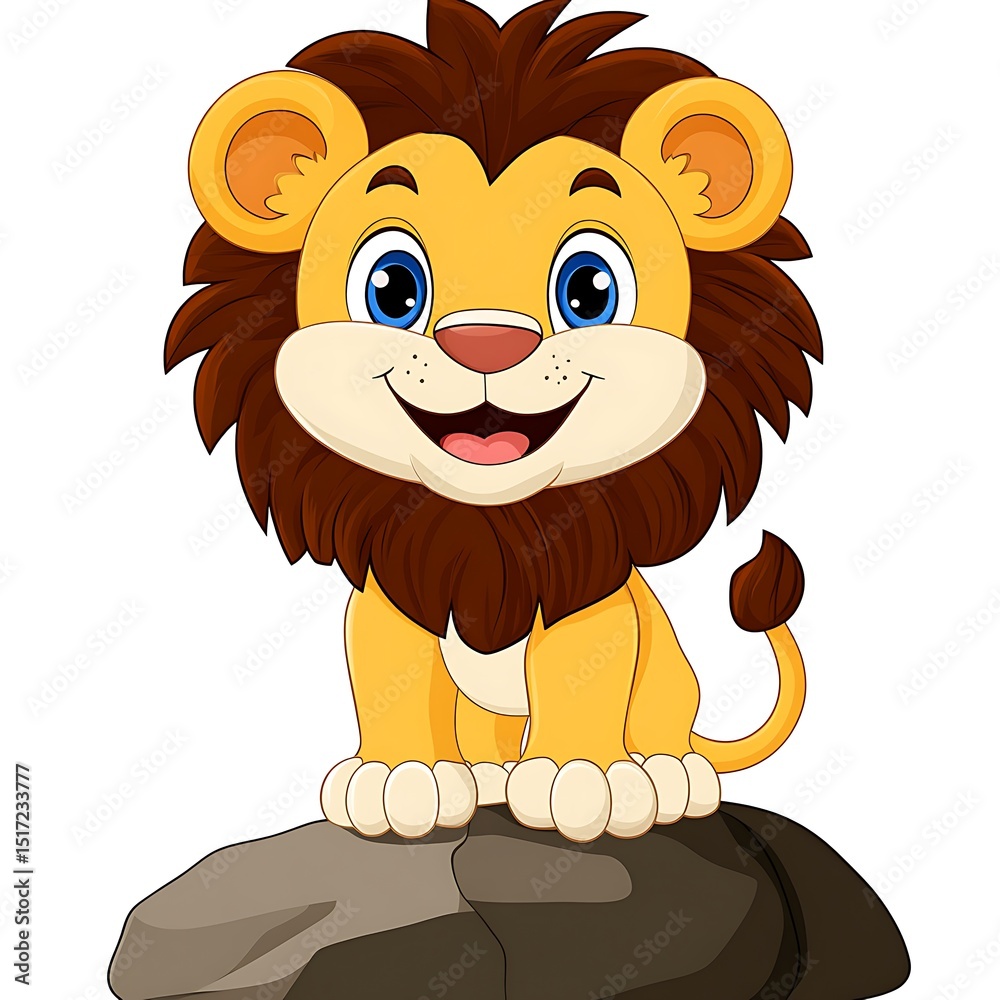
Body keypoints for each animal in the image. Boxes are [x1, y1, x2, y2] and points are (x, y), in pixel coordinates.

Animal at [168, 0, 822, 843]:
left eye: (589, 288)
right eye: (392, 286)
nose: (486, 343)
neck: (488, 529)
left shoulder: (595, 603)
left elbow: (585, 676)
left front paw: (586, 779)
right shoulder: (392, 596)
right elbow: (389, 674)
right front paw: (397, 780)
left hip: (671, 675)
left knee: (665, 720)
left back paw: (665, 776)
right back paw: (486, 779)